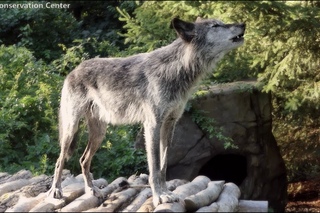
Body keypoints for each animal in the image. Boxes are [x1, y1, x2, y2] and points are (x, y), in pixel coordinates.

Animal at [47, 16, 245, 206]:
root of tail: (74, 70)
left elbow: (163, 166)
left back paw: (93, 190)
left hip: (99, 133)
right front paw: (159, 196)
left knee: (83, 159)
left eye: (220, 23)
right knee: (59, 160)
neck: (176, 69)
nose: (243, 24)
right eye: (215, 26)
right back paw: (56, 191)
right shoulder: (152, 125)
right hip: (71, 129)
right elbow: (155, 167)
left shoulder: (170, 124)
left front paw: (166, 192)